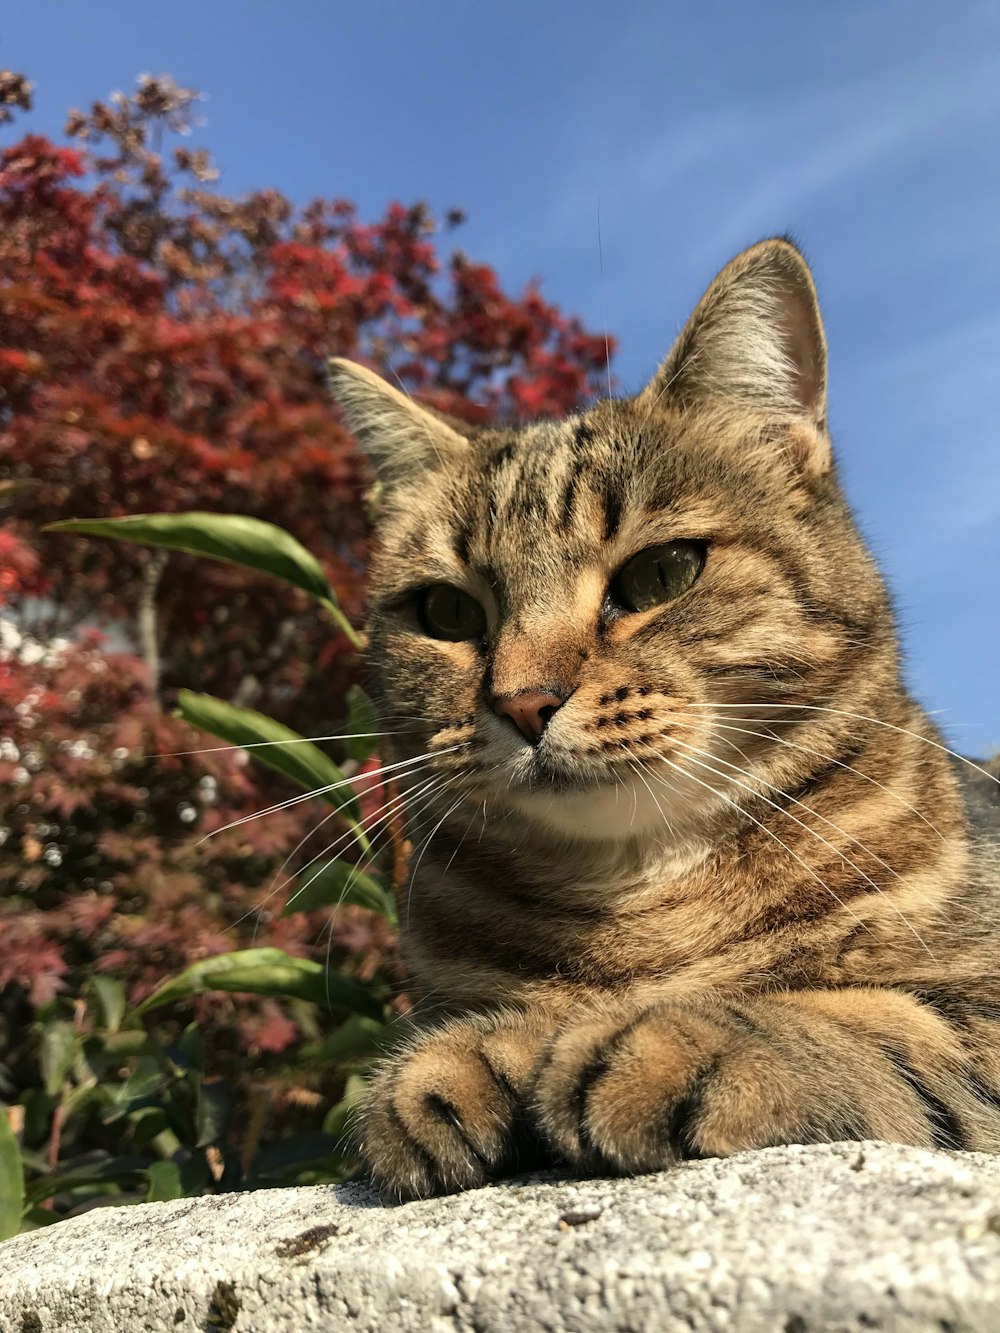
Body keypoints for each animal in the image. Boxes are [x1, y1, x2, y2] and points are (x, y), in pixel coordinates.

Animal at [329, 237, 1000, 1199]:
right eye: (447, 613)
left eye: (660, 574)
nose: (523, 700)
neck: (640, 912)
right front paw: (476, 1052)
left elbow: (876, 1020)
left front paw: (676, 1035)